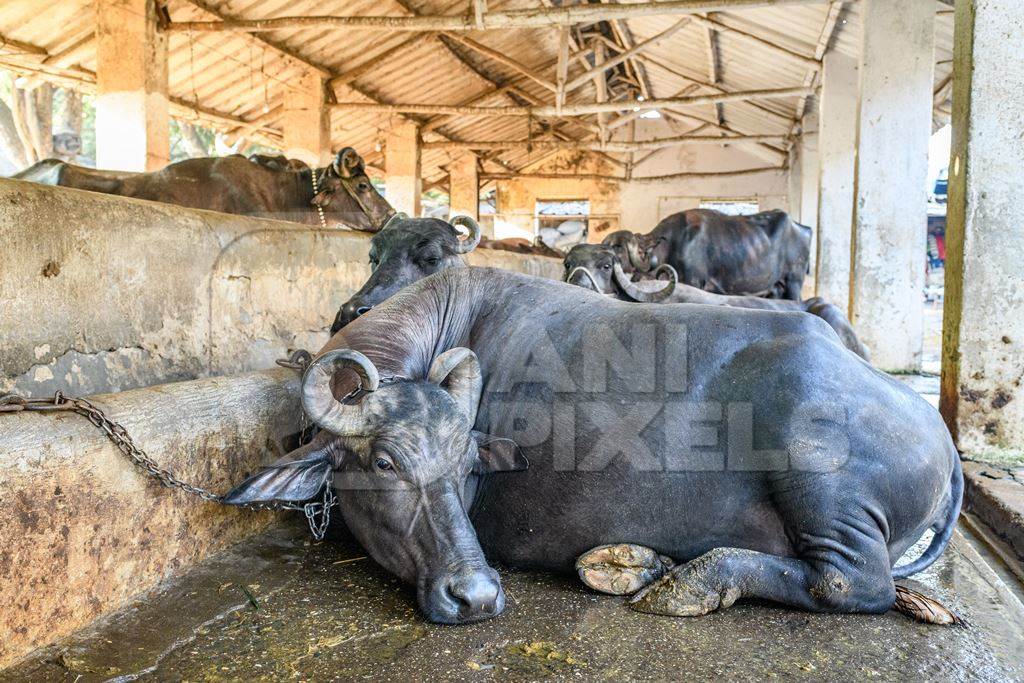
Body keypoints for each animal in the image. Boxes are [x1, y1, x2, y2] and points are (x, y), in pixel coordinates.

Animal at [228, 262, 962, 626]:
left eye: (465, 463)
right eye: (384, 462)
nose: (478, 595)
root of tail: (943, 441)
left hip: (824, 482)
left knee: (852, 582)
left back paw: (688, 583)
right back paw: (634, 564)